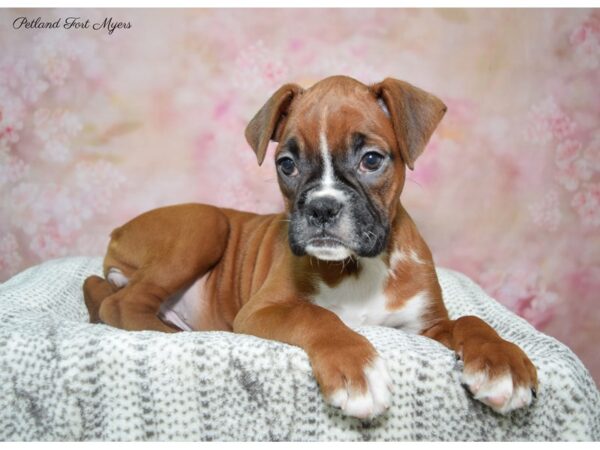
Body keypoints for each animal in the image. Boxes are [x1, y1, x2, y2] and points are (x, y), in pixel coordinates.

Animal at [82, 76, 536, 418]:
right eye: (287, 164)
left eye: (372, 159)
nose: (321, 206)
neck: (359, 266)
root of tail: (118, 230)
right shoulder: (264, 310)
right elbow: (318, 317)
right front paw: (357, 370)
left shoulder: (427, 327)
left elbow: (472, 322)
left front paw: (502, 363)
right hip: (205, 225)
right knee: (121, 305)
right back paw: (174, 332)